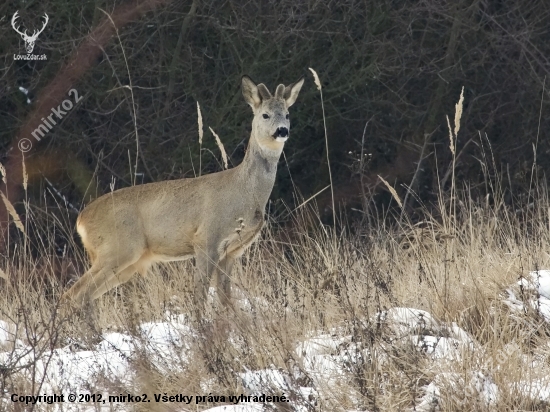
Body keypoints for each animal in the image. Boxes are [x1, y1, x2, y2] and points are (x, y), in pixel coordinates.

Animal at [63, 75, 308, 310]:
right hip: (118, 248)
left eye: (287, 114)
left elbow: (225, 297)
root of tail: (81, 220)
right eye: (265, 115)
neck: (245, 192)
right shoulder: (206, 238)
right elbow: (200, 294)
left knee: (83, 295)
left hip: (127, 262)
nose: (282, 130)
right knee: (76, 293)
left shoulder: (233, 251)